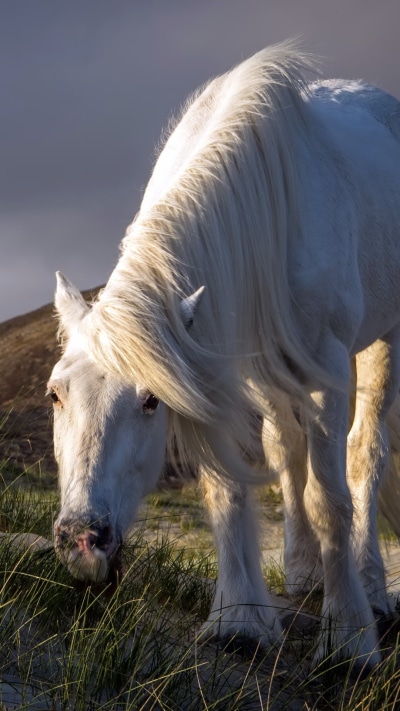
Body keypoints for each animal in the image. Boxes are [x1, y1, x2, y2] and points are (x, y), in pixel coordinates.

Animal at [48, 41, 400, 668]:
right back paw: (303, 571)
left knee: (366, 452)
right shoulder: (216, 366)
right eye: (55, 394)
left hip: (381, 342)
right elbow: (227, 485)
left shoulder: (328, 367)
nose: (82, 541)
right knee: (287, 450)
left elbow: (329, 498)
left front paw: (349, 639)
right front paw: (240, 620)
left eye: (149, 401)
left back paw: (371, 588)